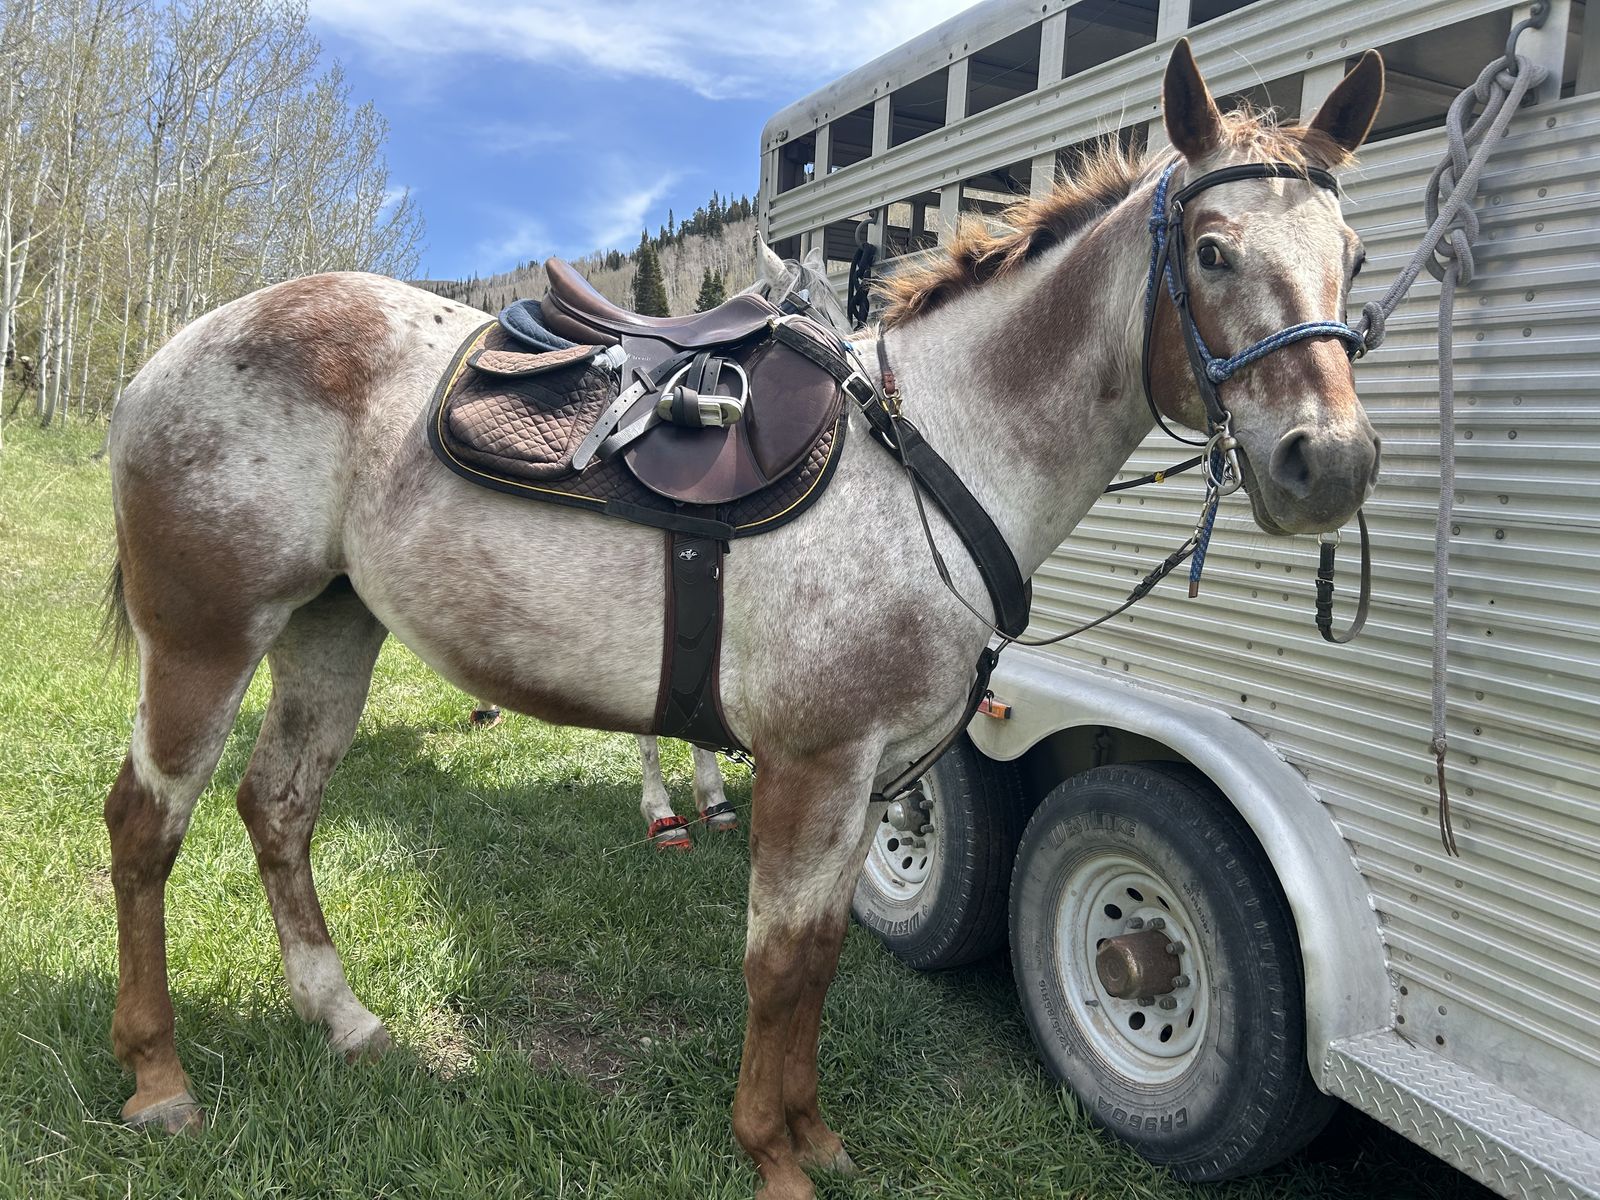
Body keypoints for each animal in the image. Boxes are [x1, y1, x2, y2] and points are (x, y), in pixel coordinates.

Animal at [98, 42, 1383, 1199]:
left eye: (1354, 257)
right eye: (1211, 252)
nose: (1327, 463)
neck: (932, 455)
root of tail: (174, 348)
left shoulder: (872, 776)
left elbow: (816, 959)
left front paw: (812, 1133)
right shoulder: (810, 765)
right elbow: (773, 962)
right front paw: (770, 1155)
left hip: (329, 630)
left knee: (279, 808)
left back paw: (345, 1018)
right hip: (206, 640)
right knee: (146, 825)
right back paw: (159, 1080)